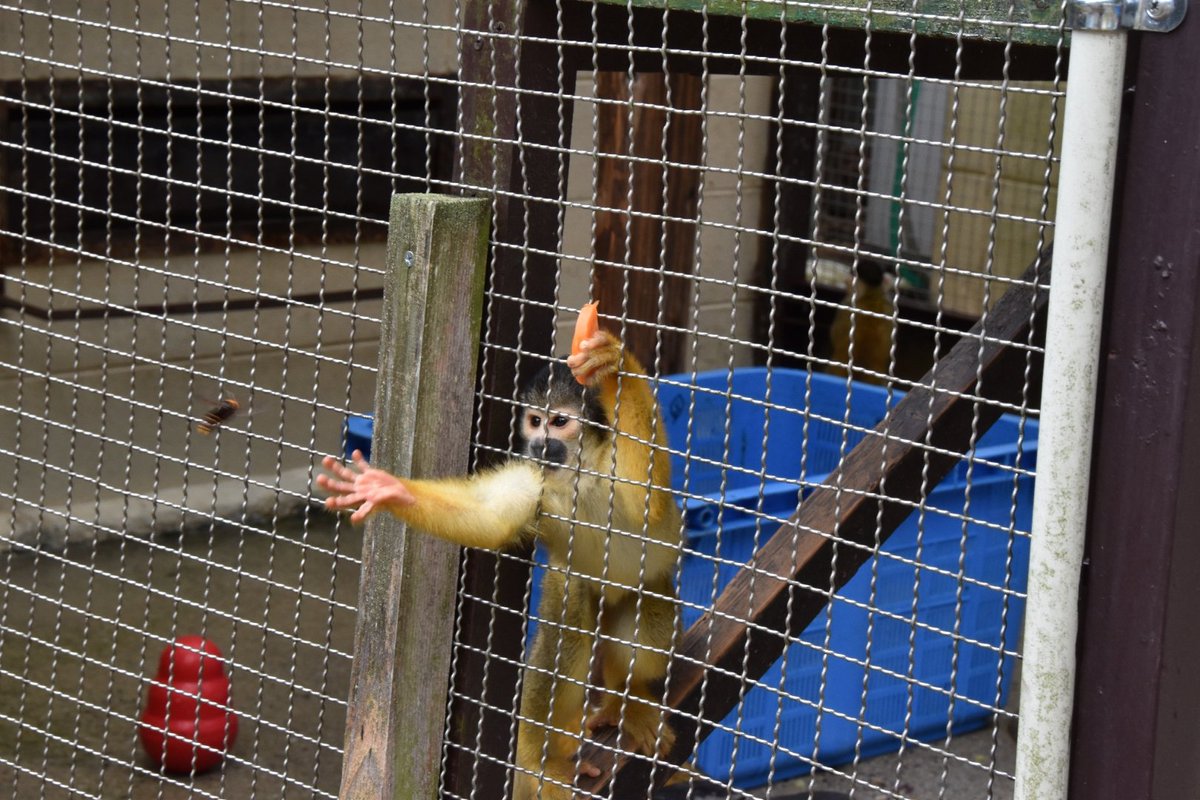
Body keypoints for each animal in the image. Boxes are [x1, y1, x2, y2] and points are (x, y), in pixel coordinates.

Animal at [317, 329, 681, 799]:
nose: (539, 443)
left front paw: (612, 365)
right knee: (571, 608)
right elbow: (488, 516)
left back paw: (626, 699)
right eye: (534, 421)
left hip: (648, 585)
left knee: (648, 621)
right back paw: (538, 760)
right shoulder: (536, 478)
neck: (578, 474)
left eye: (559, 422)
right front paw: (389, 490)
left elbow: (647, 500)